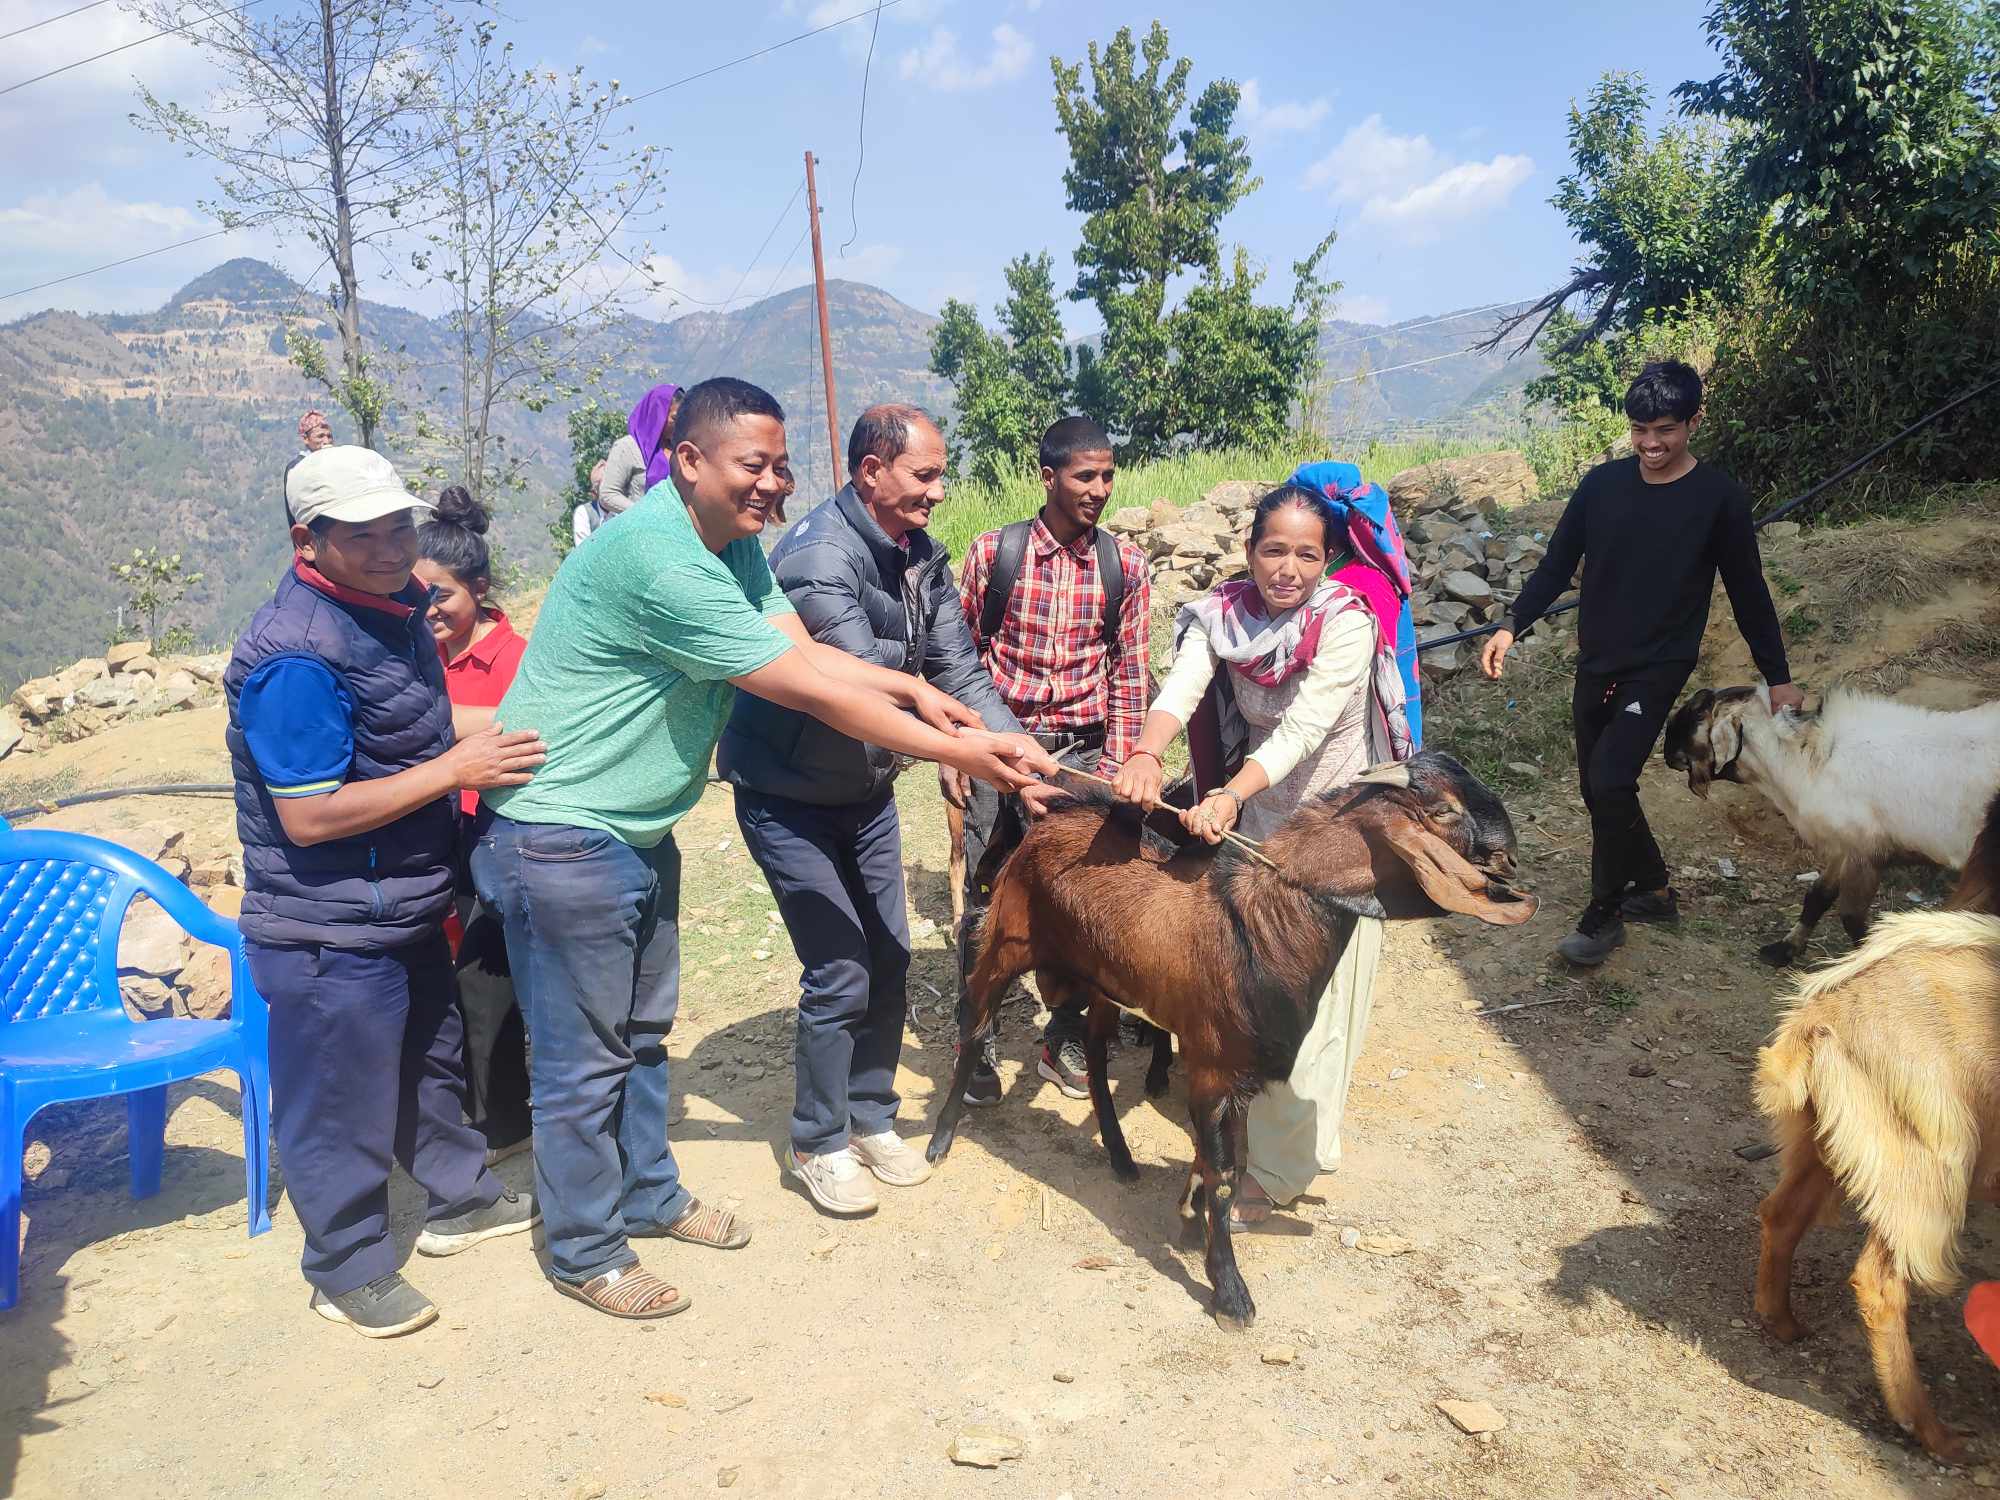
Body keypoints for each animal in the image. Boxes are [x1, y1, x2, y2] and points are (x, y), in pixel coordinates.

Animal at [920, 756, 1528, 1336]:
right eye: (1444, 811)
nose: (1511, 859)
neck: (1262, 925)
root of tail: (1048, 819)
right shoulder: (1214, 1070)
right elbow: (1225, 1175)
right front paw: (1230, 1292)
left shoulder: (1236, 1074)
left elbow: (1223, 1161)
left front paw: (1191, 1221)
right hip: (1005, 943)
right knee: (974, 1025)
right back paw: (940, 1141)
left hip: (1106, 981)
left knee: (1093, 1051)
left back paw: (1119, 1154)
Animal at [1664, 688, 2000, 968]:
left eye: (1698, 713)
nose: (1666, 753)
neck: (1813, 760)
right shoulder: (1844, 846)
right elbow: (1818, 896)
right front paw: (1785, 948)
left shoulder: (1866, 852)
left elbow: (1851, 917)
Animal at [1752, 792, 2000, 1464]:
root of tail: (1822, 1018)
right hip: (1926, 1168)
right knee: (1880, 1281)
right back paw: (1930, 1428)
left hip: (1829, 1142)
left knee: (1781, 1214)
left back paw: (1780, 1322)